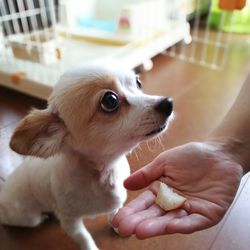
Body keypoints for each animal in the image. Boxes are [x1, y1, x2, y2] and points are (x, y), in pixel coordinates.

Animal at [0, 65, 172, 250]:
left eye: (138, 83)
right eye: (110, 100)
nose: (168, 102)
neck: (104, 173)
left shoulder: (115, 203)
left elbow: (114, 214)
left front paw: (117, 226)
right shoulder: (70, 222)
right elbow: (84, 237)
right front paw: (90, 247)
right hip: (29, 218)